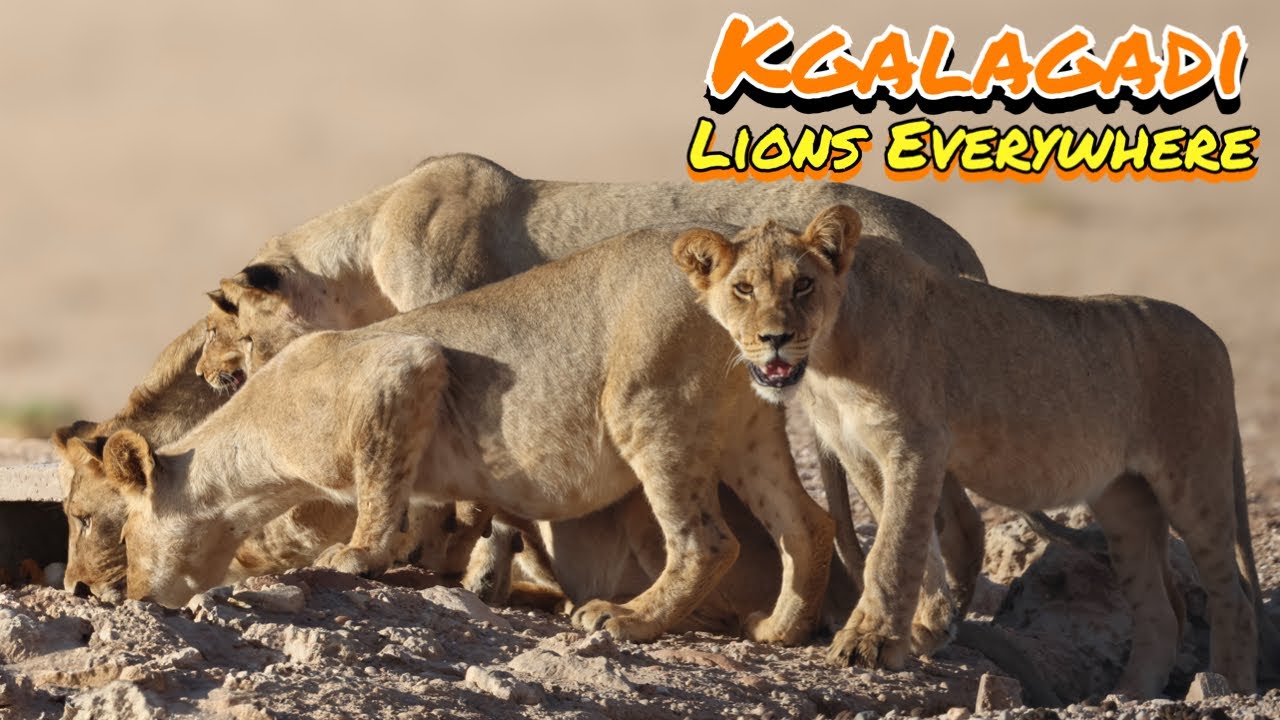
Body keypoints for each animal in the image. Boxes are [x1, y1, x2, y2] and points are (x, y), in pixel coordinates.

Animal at [675, 205, 1273, 696]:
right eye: (744, 289)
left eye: (802, 284)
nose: (774, 338)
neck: (829, 358)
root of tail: (1213, 335)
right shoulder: (861, 453)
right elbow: (909, 538)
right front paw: (923, 628)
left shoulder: (915, 442)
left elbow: (893, 548)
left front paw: (869, 642)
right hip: (1124, 500)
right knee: (1158, 610)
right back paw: (1128, 695)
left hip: (1195, 481)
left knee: (1235, 598)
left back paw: (1231, 688)